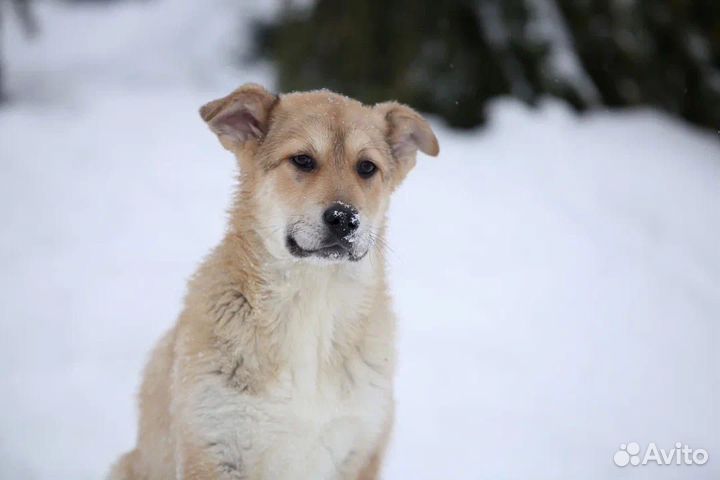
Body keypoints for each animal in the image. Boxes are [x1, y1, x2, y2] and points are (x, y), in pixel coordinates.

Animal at [108, 84, 438, 478]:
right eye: (303, 160)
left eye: (367, 167)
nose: (345, 218)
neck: (313, 304)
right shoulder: (213, 444)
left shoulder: (359, 448)